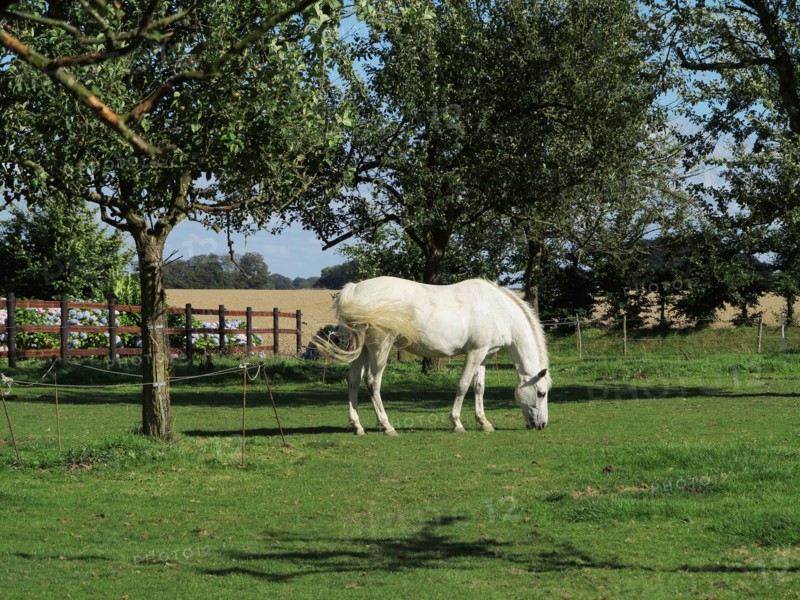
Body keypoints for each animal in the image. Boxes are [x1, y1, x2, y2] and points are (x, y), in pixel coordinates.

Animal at [322, 276, 551, 436]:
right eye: (541, 393)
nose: (542, 425)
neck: (497, 309)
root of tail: (354, 289)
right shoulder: (474, 353)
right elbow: (463, 385)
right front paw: (457, 423)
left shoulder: (483, 355)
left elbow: (479, 387)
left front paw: (484, 422)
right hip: (380, 347)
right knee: (372, 382)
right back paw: (387, 426)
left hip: (363, 350)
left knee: (354, 380)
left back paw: (358, 426)